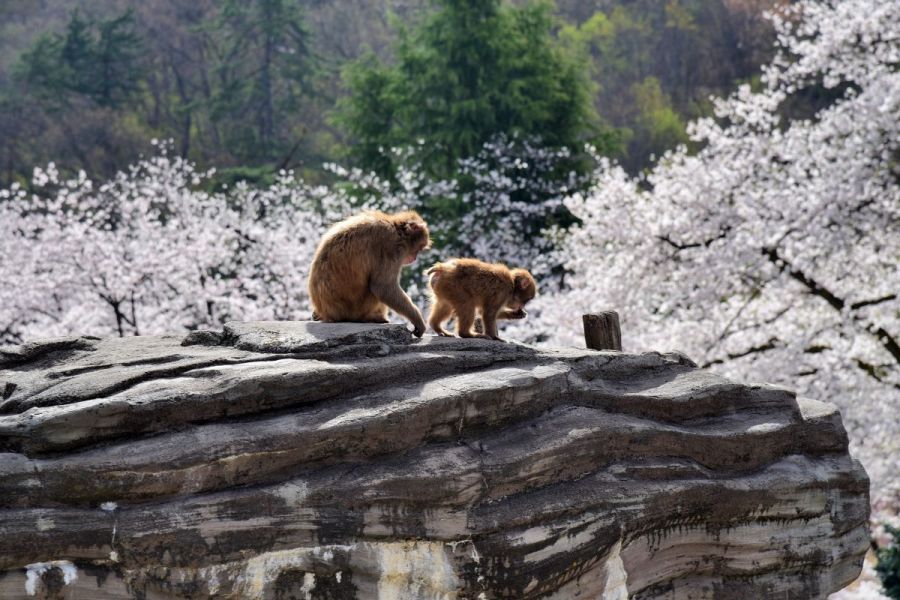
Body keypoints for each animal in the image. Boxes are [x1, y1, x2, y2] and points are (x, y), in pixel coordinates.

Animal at [310, 210, 432, 338]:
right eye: (419, 248)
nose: (414, 258)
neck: (396, 228)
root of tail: (330, 313)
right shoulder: (392, 247)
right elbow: (383, 288)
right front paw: (418, 320)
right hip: (355, 311)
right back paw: (375, 317)